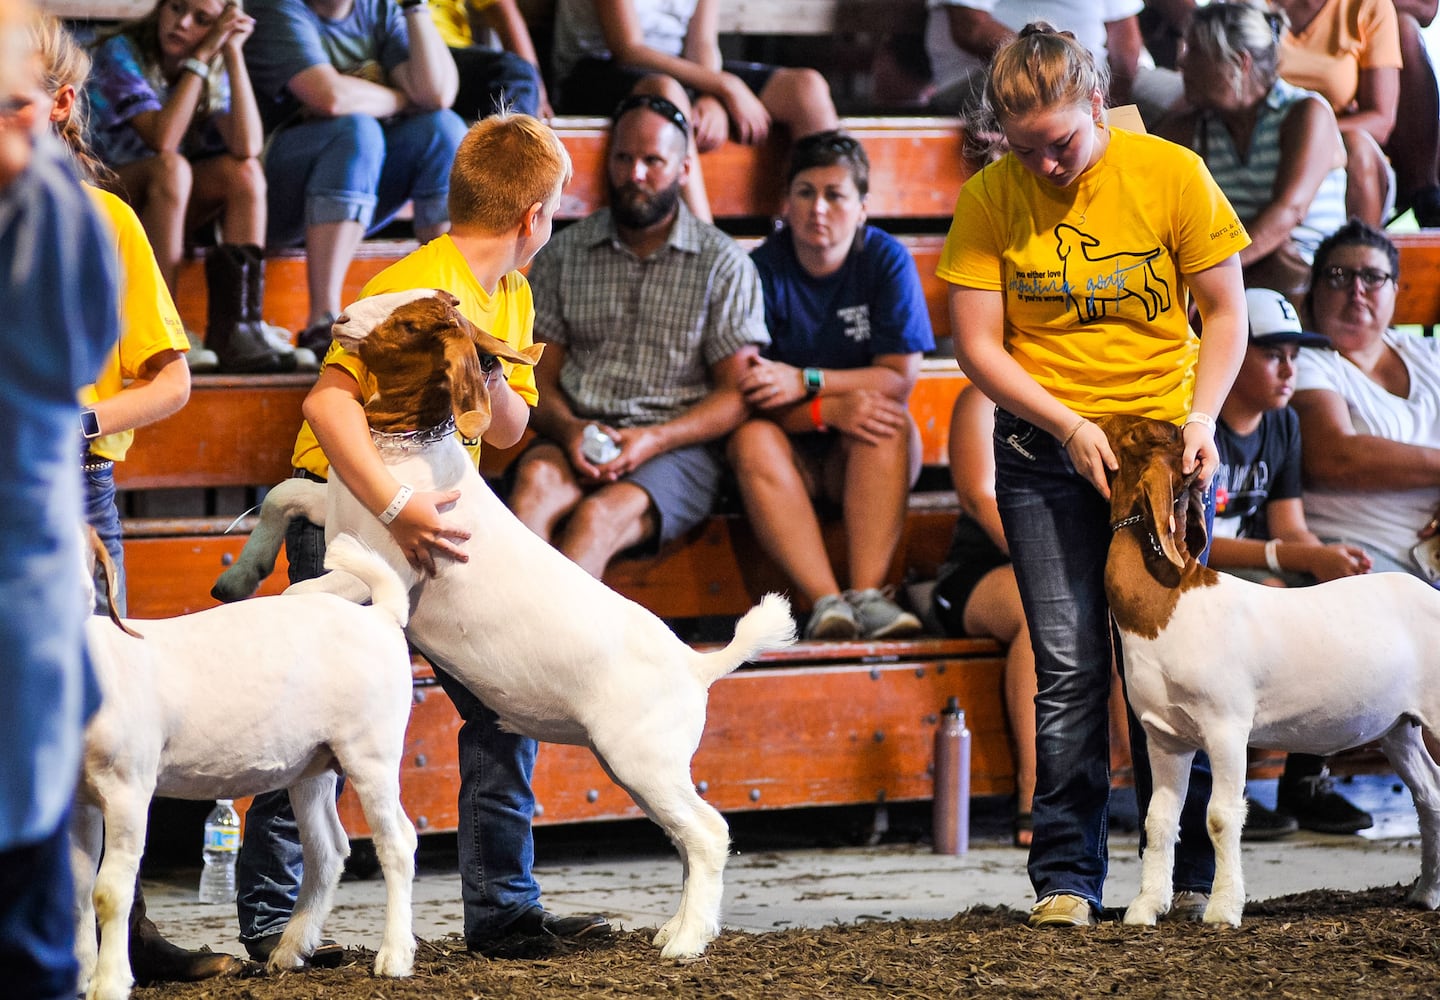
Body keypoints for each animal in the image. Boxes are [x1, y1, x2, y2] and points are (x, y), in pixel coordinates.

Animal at [75, 533, 417, 1000]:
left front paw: (108, 983)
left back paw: (394, 958)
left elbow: (109, 892)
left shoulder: (128, 782)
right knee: (327, 848)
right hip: (313, 762)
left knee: (397, 842)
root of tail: (381, 614)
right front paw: (79, 975)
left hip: (372, 748)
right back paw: (290, 951)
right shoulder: (78, 799)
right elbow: (76, 885)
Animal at [211, 292, 800, 962]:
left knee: (707, 832)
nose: (343, 317)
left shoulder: (385, 568)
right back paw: (673, 928)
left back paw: (685, 942)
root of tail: (698, 664)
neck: (404, 453)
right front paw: (237, 578)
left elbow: (307, 588)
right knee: (687, 837)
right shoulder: (334, 518)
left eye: (408, 324)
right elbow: (284, 494)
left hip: (643, 757)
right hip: (641, 764)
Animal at [1094, 417, 1440, 933]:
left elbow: (1219, 816)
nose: (1098, 421)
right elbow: (1159, 820)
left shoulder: (1226, 726)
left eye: (1140, 435)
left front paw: (1222, 909)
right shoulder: (1164, 735)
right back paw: (1425, 893)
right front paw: (1144, 908)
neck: (1169, 602)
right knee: (1430, 795)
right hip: (1399, 726)